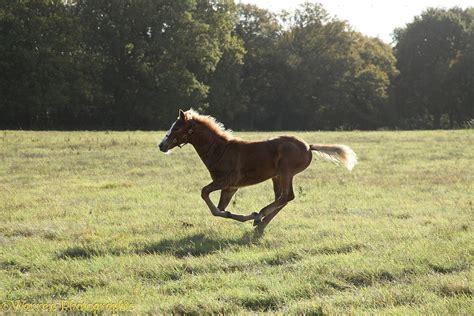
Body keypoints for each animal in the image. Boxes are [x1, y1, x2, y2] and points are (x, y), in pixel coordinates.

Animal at [157, 110, 358, 231]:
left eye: (177, 127)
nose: (161, 145)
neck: (220, 150)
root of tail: (309, 146)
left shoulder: (226, 181)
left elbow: (205, 194)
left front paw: (252, 215)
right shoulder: (230, 188)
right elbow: (220, 209)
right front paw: (244, 216)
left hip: (285, 172)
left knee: (287, 196)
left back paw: (260, 216)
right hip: (277, 177)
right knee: (283, 198)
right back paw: (261, 223)